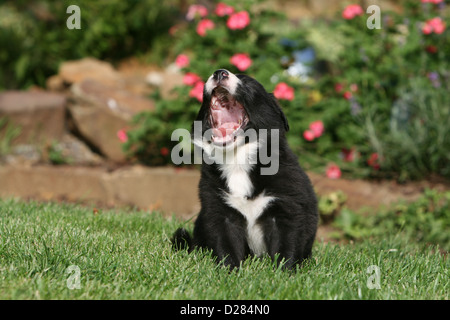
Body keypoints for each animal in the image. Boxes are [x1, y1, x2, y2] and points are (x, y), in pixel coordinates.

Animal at [171, 70, 316, 270]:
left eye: (248, 84)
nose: (219, 72)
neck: (237, 161)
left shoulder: (287, 209)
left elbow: (286, 247)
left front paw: (284, 273)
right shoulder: (219, 211)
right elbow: (226, 246)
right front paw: (229, 271)